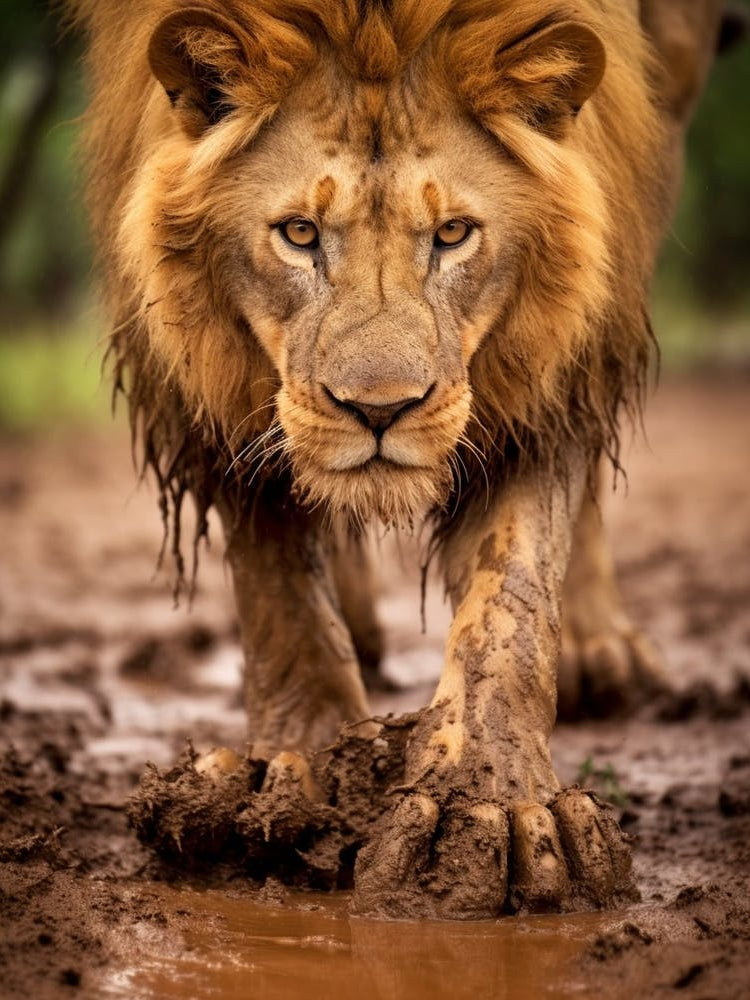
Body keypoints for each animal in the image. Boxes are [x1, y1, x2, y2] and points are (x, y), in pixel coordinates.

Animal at [68, 0, 729, 918]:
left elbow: (512, 586)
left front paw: (494, 813)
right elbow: (275, 576)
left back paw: (602, 655)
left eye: (452, 234)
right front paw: (293, 774)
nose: (380, 410)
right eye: (299, 233)